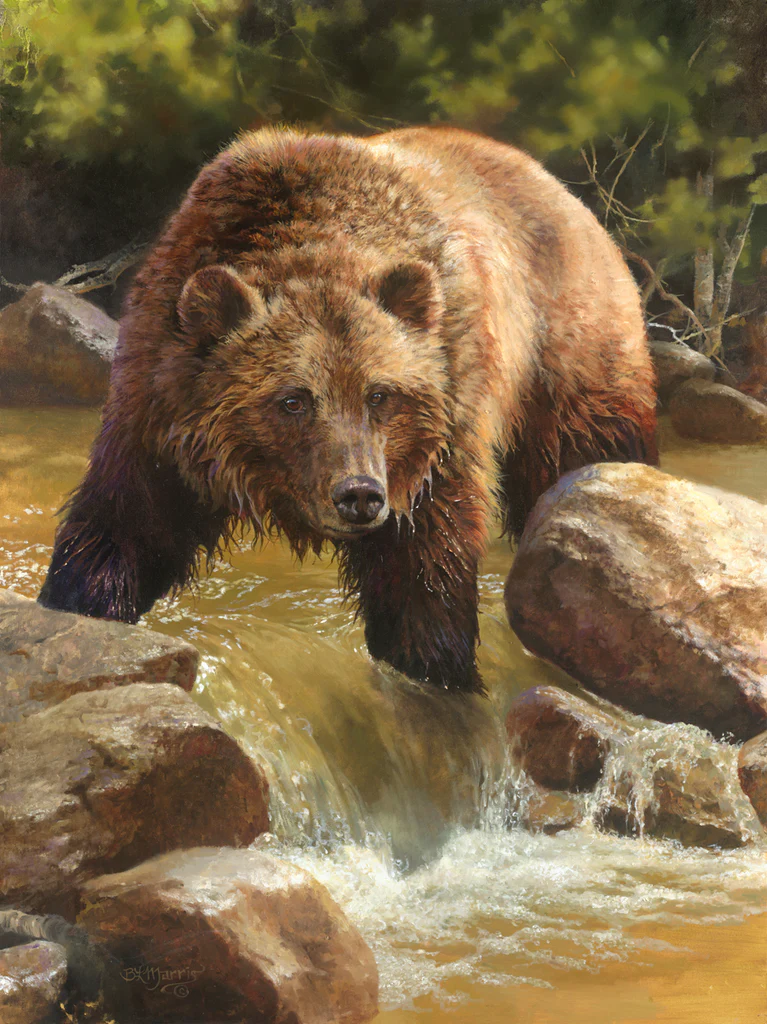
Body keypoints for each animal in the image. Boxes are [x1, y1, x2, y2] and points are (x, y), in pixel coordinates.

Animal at [38, 126, 657, 693]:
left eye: (380, 395)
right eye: (292, 400)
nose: (359, 494)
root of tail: (562, 192)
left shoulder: (441, 427)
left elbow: (424, 564)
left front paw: (435, 663)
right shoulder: (158, 400)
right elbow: (126, 521)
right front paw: (83, 602)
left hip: (571, 354)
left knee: (582, 451)